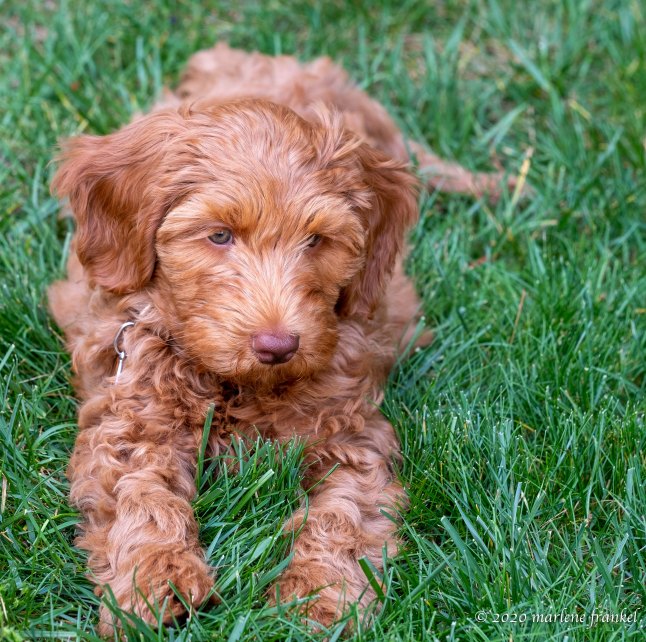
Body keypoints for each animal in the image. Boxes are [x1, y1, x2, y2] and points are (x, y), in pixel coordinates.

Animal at [48, 43, 517, 633]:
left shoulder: (350, 433)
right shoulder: (131, 416)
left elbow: (342, 513)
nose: (277, 346)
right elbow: (143, 492)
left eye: (316, 241)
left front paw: (318, 596)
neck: (236, 385)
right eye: (219, 235)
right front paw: (157, 581)